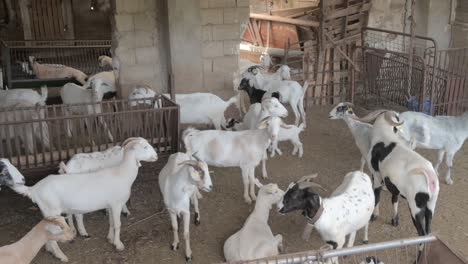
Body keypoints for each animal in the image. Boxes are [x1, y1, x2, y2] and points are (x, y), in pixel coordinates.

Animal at [9, 137, 158, 260]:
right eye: (145, 147)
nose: (156, 156)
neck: (122, 173)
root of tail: (33, 189)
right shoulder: (116, 204)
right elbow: (118, 224)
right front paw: (118, 244)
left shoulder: (110, 205)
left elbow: (110, 222)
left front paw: (110, 239)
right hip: (52, 211)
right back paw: (61, 255)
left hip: (47, 212)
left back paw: (51, 250)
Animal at [356, 110, 440, 241]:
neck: (384, 137)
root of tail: (430, 177)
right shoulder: (394, 185)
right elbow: (394, 200)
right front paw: (395, 220)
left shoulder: (377, 176)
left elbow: (377, 196)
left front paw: (374, 215)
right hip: (431, 206)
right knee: (428, 230)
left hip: (416, 207)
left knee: (421, 232)